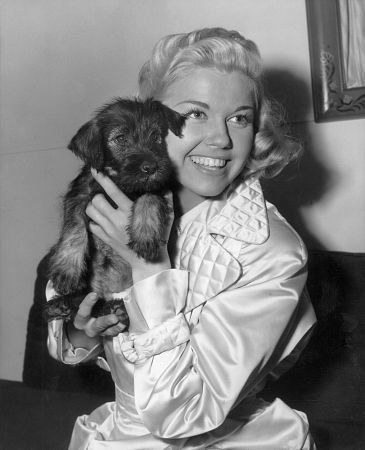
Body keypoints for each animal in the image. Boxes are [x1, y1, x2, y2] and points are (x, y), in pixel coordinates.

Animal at [43, 98, 185, 324]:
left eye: (156, 137)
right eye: (120, 139)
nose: (151, 167)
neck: (121, 182)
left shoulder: (161, 187)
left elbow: (149, 198)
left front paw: (145, 235)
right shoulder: (79, 195)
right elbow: (73, 230)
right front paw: (67, 271)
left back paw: (116, 309)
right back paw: (62, 304)